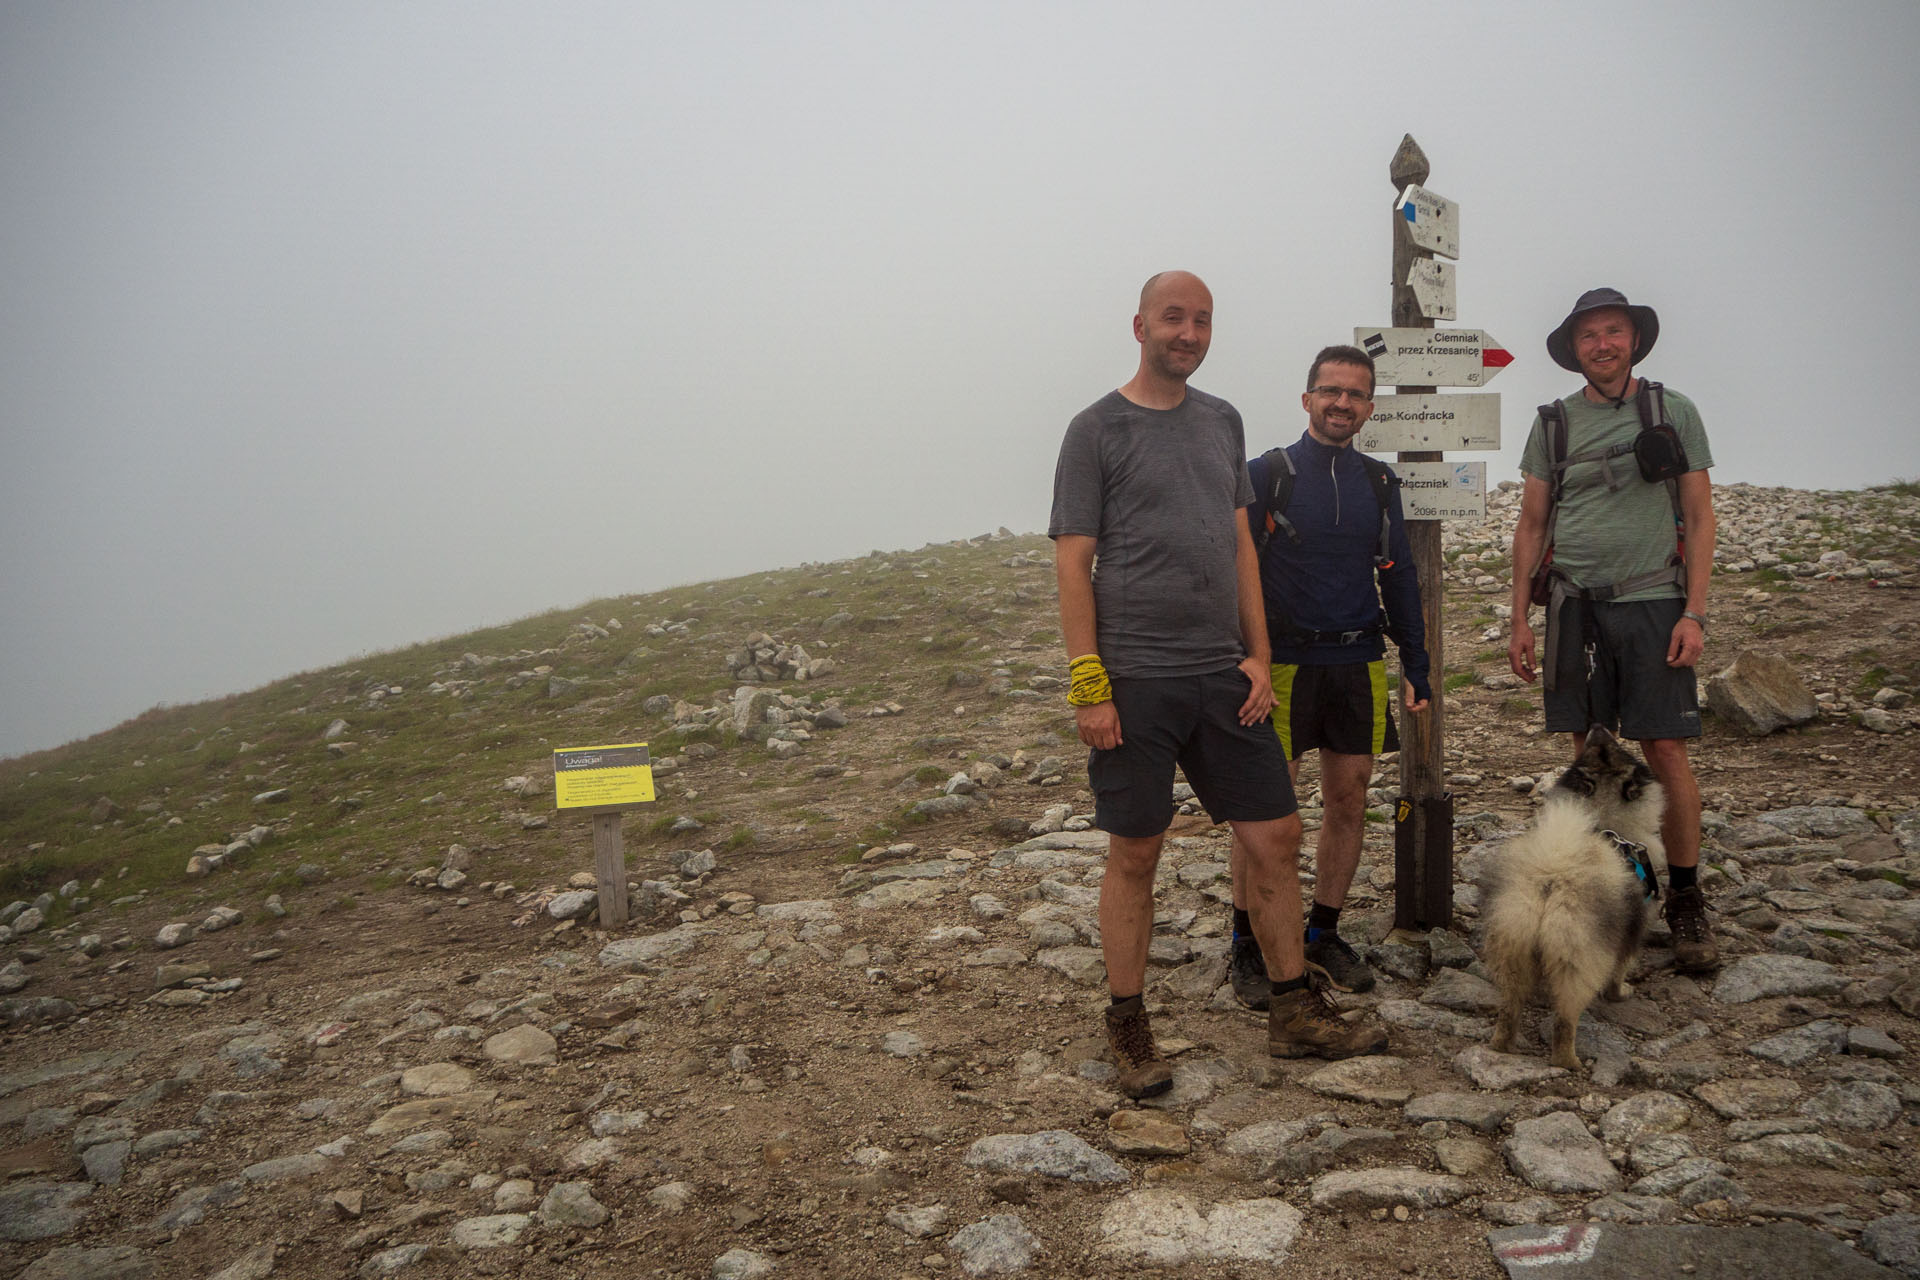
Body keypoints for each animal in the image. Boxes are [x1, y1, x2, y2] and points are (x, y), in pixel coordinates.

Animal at [1482, 729, 1666, 1074]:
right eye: (1624, 750)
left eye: (1595, 750)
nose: (1598, 725)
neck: (1607, 821)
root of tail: (1551, 881)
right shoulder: (1632, 929)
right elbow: (1620, 969)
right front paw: (1621, 993)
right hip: (1577, 957)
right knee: (1565, 1019)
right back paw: (1570, 1061)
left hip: (1512, 943)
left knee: (1510, 1005)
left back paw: (1503, 1044)